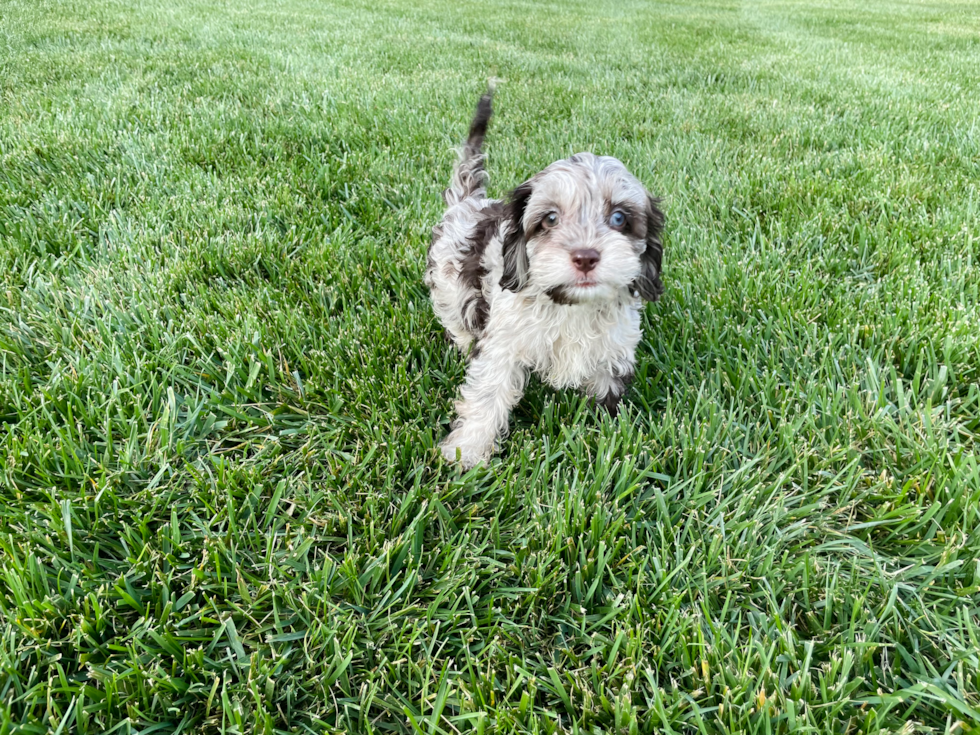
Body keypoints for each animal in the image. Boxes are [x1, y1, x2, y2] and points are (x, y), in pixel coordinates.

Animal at [424, 89, 668, 468]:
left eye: (619, 218)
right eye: (550, 218)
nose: (586, 256)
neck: (571, 305)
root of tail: (469, 203)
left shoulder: (613, 348)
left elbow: (606, 395)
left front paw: (611, 435)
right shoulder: (502, 345)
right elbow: (487, 395)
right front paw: (467, 450)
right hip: (450, 285)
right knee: (457, 319)